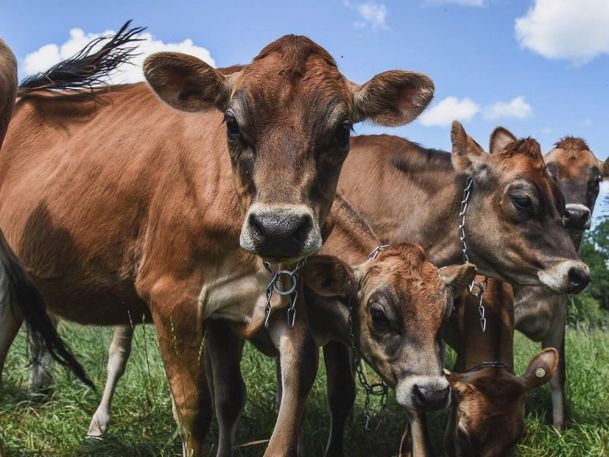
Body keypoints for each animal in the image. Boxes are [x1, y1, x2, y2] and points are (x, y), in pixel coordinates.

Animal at [512, 135, 608, 428]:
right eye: (550, 173)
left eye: (596, 179)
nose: (575, 214)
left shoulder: (558, 319)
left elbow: (557, 374)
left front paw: (558, 429)